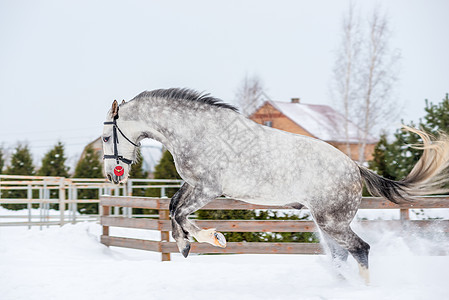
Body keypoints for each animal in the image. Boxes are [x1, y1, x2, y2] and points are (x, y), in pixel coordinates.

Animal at [101, 88, 448, 284]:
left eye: (106, 137)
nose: (112, 176)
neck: (196, 131)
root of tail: (355, 167)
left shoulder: (208, 188)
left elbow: (179, 214)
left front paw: (209, 239)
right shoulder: (193, 185)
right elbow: (174, 208)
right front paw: (188, 244)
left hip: (332, 222)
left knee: (360, 250)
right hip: (328, 223)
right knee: (342, 256)